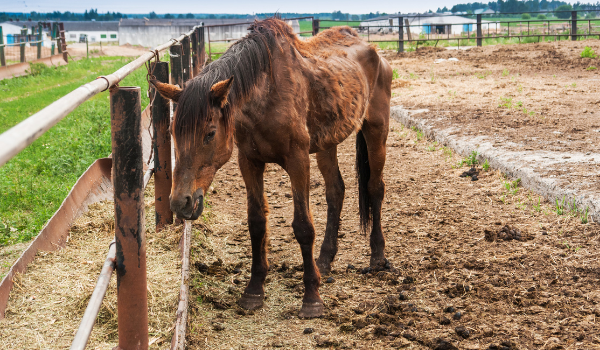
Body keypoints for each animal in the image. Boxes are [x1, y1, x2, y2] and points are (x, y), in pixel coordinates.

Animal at [152, 19, 392, 320]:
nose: (180, 202)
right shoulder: (249, 162)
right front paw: (253, 291)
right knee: (336, 191)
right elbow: (256, 223)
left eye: (209, 133)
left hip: (376, 129)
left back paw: (377, 256)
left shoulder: (297, 160)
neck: (266, 94)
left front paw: (311, 299)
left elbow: (303, 226)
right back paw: (324, 259)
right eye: (173, 132)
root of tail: (374, 51)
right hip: (327, 142)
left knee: (375, 188)